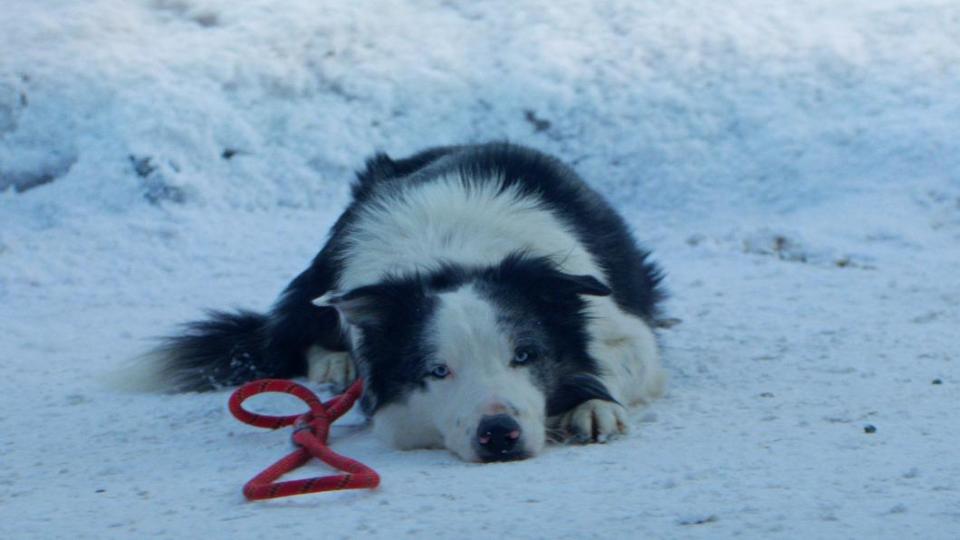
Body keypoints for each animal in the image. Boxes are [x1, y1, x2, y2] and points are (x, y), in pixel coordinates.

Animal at [152, 142, 668, 460]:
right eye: (438, 371)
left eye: (525, 356)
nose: (498, 434)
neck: (454, 257)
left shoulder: (623, 326)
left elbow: (614, 361)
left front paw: (591, 405)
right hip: (325, 268)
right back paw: (336, 363)